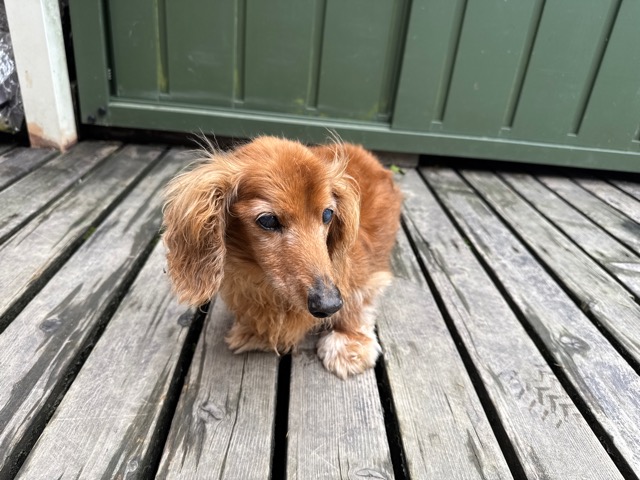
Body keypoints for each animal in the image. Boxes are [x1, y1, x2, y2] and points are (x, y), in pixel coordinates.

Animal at [162, 136, 402, 378]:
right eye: (267, 220)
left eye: (328, 214)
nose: (329, 304)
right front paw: (255, 332)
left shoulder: (368, 276)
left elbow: (358, 303)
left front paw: (350, 341)